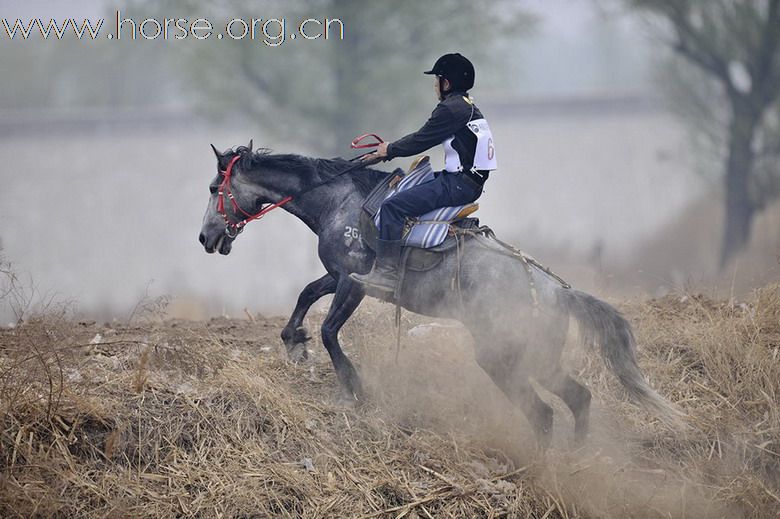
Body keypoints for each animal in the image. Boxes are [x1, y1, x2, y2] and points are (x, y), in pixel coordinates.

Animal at [200, 142, 684, 446]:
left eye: (213, 189)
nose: (205, 237)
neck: (341, 202)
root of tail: (558, 295)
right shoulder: (337, 275)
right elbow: (305, 296)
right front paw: (293, 343)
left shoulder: (354, 282)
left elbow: (330, 330)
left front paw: (354, 385)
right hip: (537, 361)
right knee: (576, 400)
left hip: (505, 358)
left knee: (544, 413)